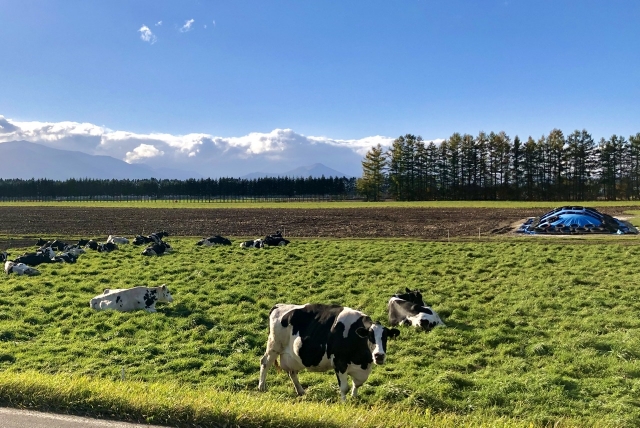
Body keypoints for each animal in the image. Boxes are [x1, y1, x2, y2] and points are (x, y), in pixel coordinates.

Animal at [258, 302, 400, 400]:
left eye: (385, 337)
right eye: (369, 336)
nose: (379, 355)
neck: (363, 361)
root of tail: (279, 305)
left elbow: (357, 384)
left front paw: (354, 399)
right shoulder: (339, 362)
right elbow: (344, 388)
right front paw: (344, 404)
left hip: (291, 355)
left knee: (292, 372)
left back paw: (301, 391)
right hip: (274, 345)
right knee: (265, 363)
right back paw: (261, 387)